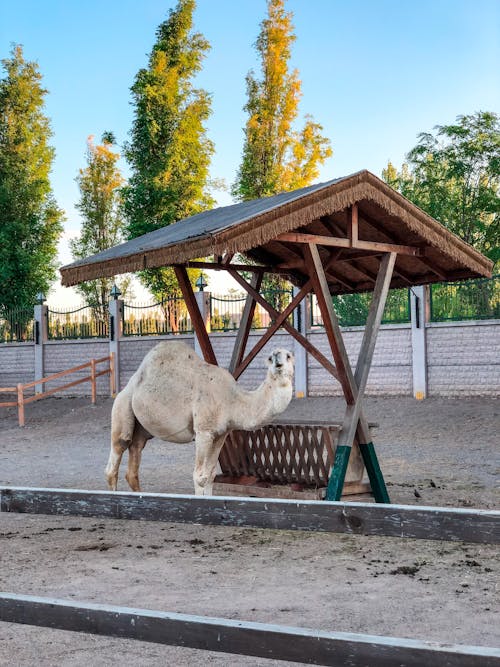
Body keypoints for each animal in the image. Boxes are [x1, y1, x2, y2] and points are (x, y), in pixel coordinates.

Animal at [104, 342, 292, 494]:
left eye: (289, 355)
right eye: (270, 357)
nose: (278, 359)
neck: (232, 399)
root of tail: (131, 382)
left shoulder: (221, 434)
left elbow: (210, 475)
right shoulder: (203, 431)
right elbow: (199, 476)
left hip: (142, 428)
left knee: (135, 455)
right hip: (122, 405)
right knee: (118, 451)